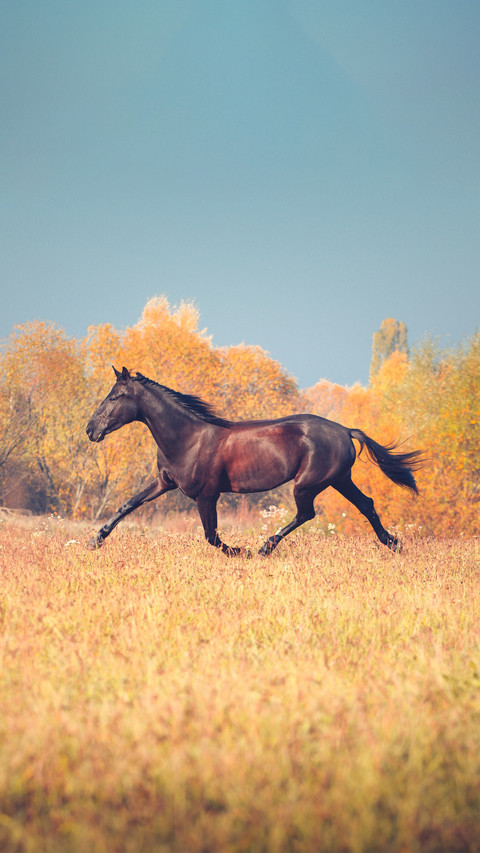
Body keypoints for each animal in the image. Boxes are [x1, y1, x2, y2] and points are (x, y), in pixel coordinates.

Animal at [85, 366, 423, 556]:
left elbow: (211, 536)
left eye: (114, 397)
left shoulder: (206, 495)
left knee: (307, 514)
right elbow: (128, 504)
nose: (91, 430)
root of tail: (345, 430)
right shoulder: (164, 482)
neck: (188, 437)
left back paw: (264, 547)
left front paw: (241, 551)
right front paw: (95, 540)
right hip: (339, 480)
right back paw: (393, 544)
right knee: (366, 504)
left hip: (307, 484)